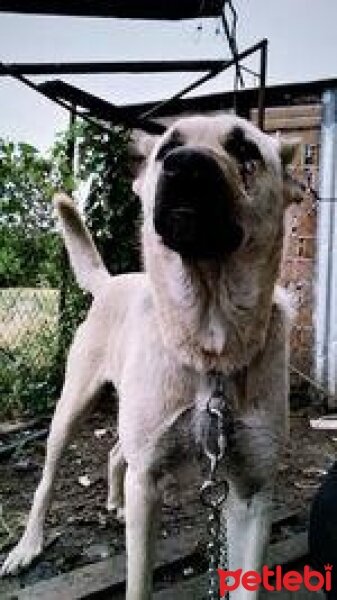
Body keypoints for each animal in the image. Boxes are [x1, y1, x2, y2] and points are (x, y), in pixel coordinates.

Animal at [0, 115, 300, 596]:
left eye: (245, 150)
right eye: (167, 148)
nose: (186, 165)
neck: (209, 347)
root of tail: (108, 283)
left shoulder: (252, 492)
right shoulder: (147, 482)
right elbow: (138, 580)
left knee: (115, 451)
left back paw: (113, 503)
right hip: (72, 409)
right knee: (46, 481)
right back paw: (28, 545)